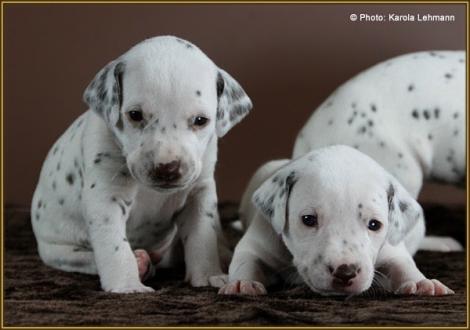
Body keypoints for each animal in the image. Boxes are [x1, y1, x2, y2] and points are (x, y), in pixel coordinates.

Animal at [30, 36, 252, 294]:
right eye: (135, 115)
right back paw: (140, 263)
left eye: (200, 120)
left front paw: (207, 275)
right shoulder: (107, 197)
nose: (166, 168)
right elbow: (114, 247)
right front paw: (127, 285)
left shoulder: (200, 192)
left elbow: (201, 237)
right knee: (87, 258)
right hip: (60, 252)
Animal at [220, 146, 456, 296]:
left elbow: (403, 265)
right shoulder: (256, 243)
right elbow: (246, 259)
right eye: (308, 219)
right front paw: (242, 283)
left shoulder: (392, 250)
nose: (345, 273)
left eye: (374, 225)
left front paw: (421, 282)